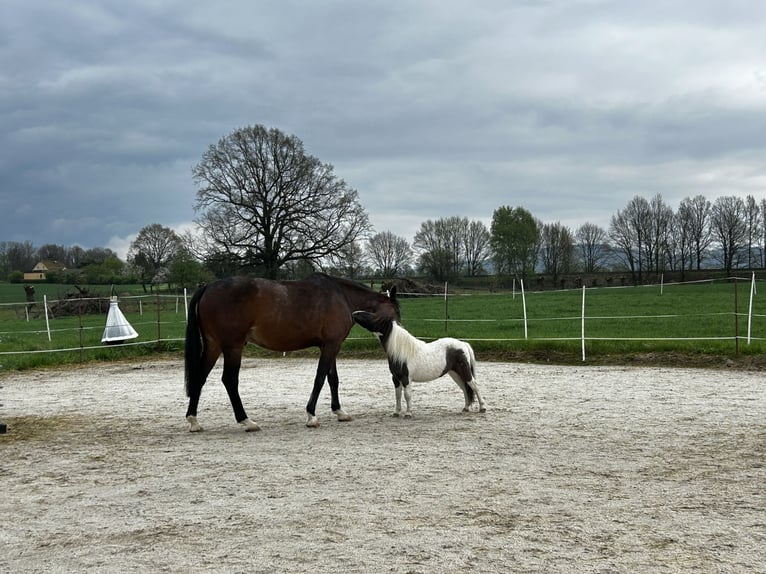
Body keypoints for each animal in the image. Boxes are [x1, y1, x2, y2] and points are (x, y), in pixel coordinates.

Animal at [184, 273, 399, 432]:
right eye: (396, 313)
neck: (342, 297)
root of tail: (208, 287)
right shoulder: (331, 346)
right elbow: (320, 378)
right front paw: (311, 415)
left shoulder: (330, 345)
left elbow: (333, 379)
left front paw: (339, 412)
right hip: (233, 347)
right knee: (229, 380)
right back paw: (246, 421)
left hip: (213, 346)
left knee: (200, 378)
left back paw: (194, 421)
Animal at [352, 310, 486, 417]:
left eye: (374, 316)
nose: (355, 313)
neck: (401, 352)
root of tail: (463, 344)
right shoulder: (395, 378)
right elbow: (397, 395)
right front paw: (396, 412)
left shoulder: (406, 378)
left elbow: (407, 395)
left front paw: (408, 413)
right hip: (454, 373)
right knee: (464, 388)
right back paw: (466, 408)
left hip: (464, 371)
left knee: (474, 385)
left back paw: (483, 408)